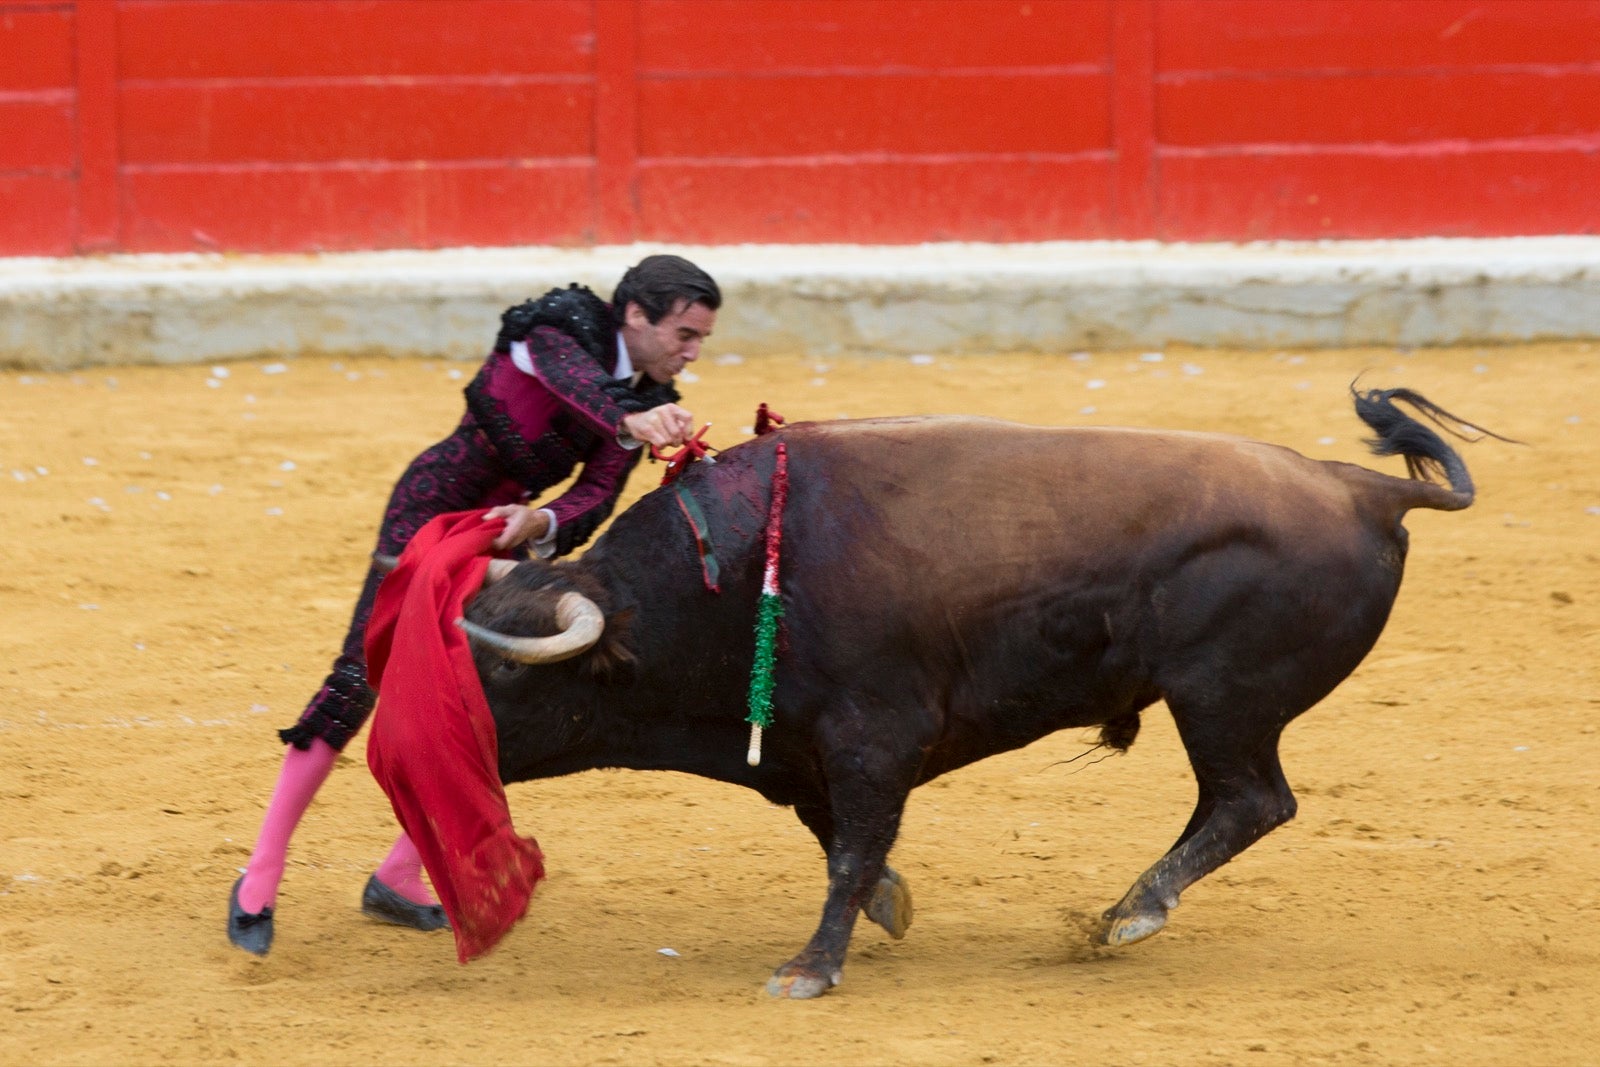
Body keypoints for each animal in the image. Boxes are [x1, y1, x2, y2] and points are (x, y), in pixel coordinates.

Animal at [460, 388, 1497, 998]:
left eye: (508, 666)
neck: (728, 578)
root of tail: (1360, 488)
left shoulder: (874, 737)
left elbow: (850, 846)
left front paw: (810, 968)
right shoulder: (801, 746)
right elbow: (837, 835)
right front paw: (887, 904)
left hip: (1221, 698)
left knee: (1250, 799)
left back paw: (1132, 913)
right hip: (1221, 706)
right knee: (1234, 803)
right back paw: (1123, 911)